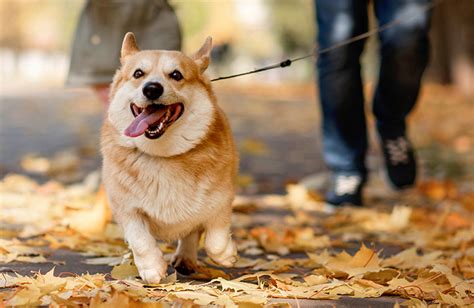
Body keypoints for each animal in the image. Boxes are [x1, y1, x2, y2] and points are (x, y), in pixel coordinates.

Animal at [101, 32, 239, 282]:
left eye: (176, 75)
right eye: (138, 73)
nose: (152, 89)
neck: (162, 155)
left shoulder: (221, 201)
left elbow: (215, 239)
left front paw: (227, 255)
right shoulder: (126, 208)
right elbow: (140, 239)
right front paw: (152, 268)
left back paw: (186, 258)